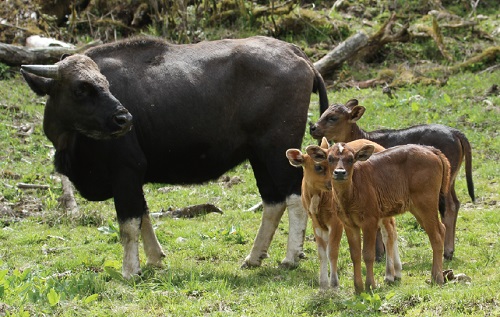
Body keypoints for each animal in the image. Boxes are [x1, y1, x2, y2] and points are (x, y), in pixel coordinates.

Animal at [308, 99, 476, 260]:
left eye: (333, 117)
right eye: (323, 113)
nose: (313, 128)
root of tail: (455, 132)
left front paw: (379, 254)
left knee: (448, 207)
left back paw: (447, 251)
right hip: (449, 179)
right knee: (455, 204)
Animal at [308, 142, 450, 292]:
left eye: (351, 159)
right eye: (329, 158)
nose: (340, 172)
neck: (351, 193)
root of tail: (430, 149)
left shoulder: (370, 221)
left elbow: (368, 254)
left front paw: (370, 284)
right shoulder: (349, 224)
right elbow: (355, 254)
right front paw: (358, 288)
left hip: (426, 204)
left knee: (437, 234)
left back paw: (438, 278)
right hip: (418, 208)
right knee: (440, 230)